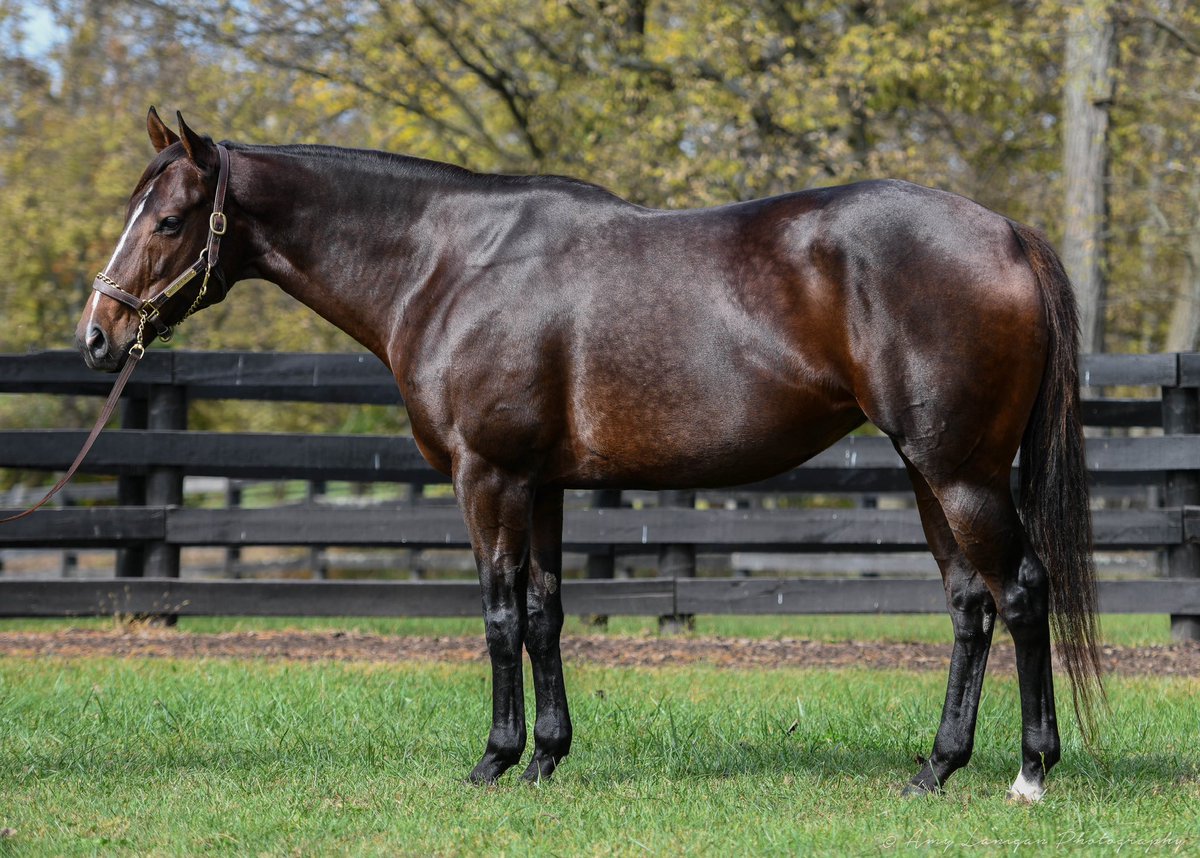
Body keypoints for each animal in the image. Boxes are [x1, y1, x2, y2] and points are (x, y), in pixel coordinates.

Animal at [75, 111, 1099, 801]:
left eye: (168, 221)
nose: (96, 335)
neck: (449, 265)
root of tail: (1007, 233)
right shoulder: (544, 485)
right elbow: (544, 616)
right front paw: (546, 757)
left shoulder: (486, 476)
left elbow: (497, 617)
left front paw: (493, 760)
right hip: (928, 471)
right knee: (969, 607)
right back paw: (936, 768)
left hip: (960, 471)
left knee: (1020, 594)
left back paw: (1030, 773)